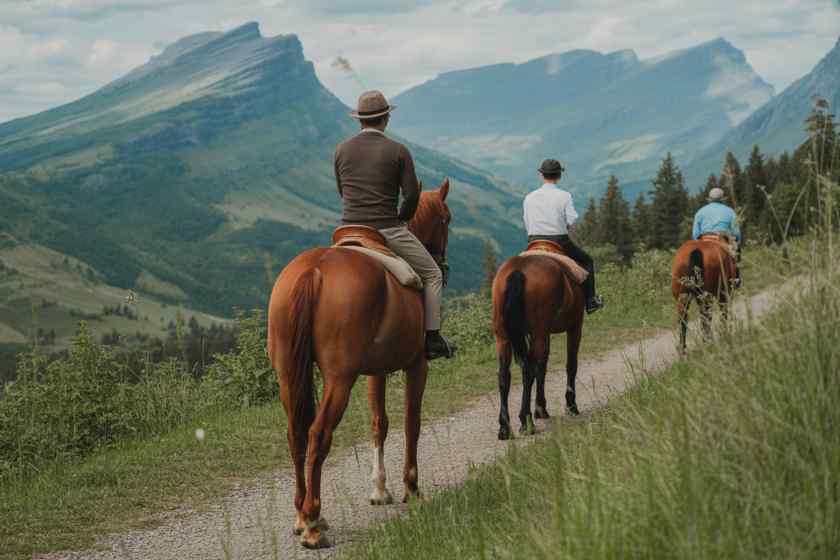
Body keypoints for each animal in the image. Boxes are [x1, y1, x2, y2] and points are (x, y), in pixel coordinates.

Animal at [266, 179, 452, 549]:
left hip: (288, 375)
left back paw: (302, 516)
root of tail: (314, 270)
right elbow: (411, 422)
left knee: (296, 434)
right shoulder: (416, 365)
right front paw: (411, 487)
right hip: (340, 378)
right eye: (447, 220)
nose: (443, 265)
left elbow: (379, 422)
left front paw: (380, 490)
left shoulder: (374, 372)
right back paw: (313, 524)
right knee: (318, 434)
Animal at [491, 244, 586, 441]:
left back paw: (505, 428)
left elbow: (542, 367)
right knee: (528, 371)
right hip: (539, 332)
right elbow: (571, 365)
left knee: (505, 375)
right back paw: (526, 421)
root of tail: (518, 271)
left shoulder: (542, 333)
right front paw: (571, 406)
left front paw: (541, 408)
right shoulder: (575, 327)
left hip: (503, 337)